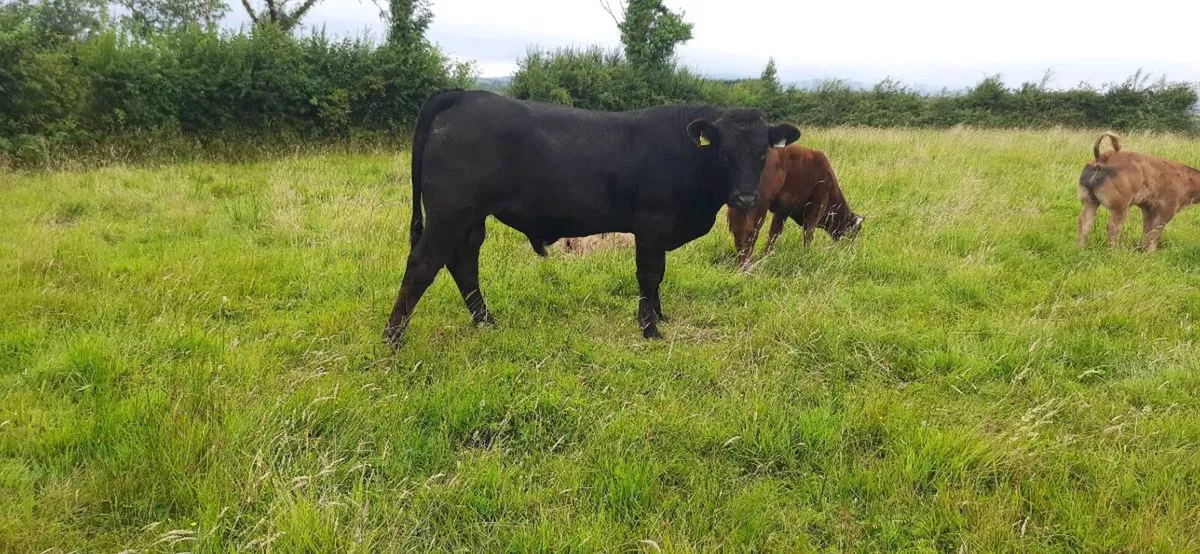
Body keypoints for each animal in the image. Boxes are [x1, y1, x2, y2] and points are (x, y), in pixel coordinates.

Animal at [383, 90, 801, 346]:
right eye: (724, 152)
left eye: (762, 151)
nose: (745, 197)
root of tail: (464, 95)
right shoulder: (652, 221)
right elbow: (649, 273)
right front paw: (649, 328)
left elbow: (659, 275)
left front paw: (659, 316)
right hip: (449, 213)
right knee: (423, 264)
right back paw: (393, 337)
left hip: (470, 219)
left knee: (463, 263)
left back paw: (486, 321)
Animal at [727, 143, 862, 270]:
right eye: (855, 231)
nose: (851, 251)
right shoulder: (817, 206)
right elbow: (808, 233)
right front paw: (806, 254)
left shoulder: (783, 210)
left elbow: (774, 233)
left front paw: (766, 256)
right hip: (760, 202)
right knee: (750, 230)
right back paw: (745, 264)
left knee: (737, 228)